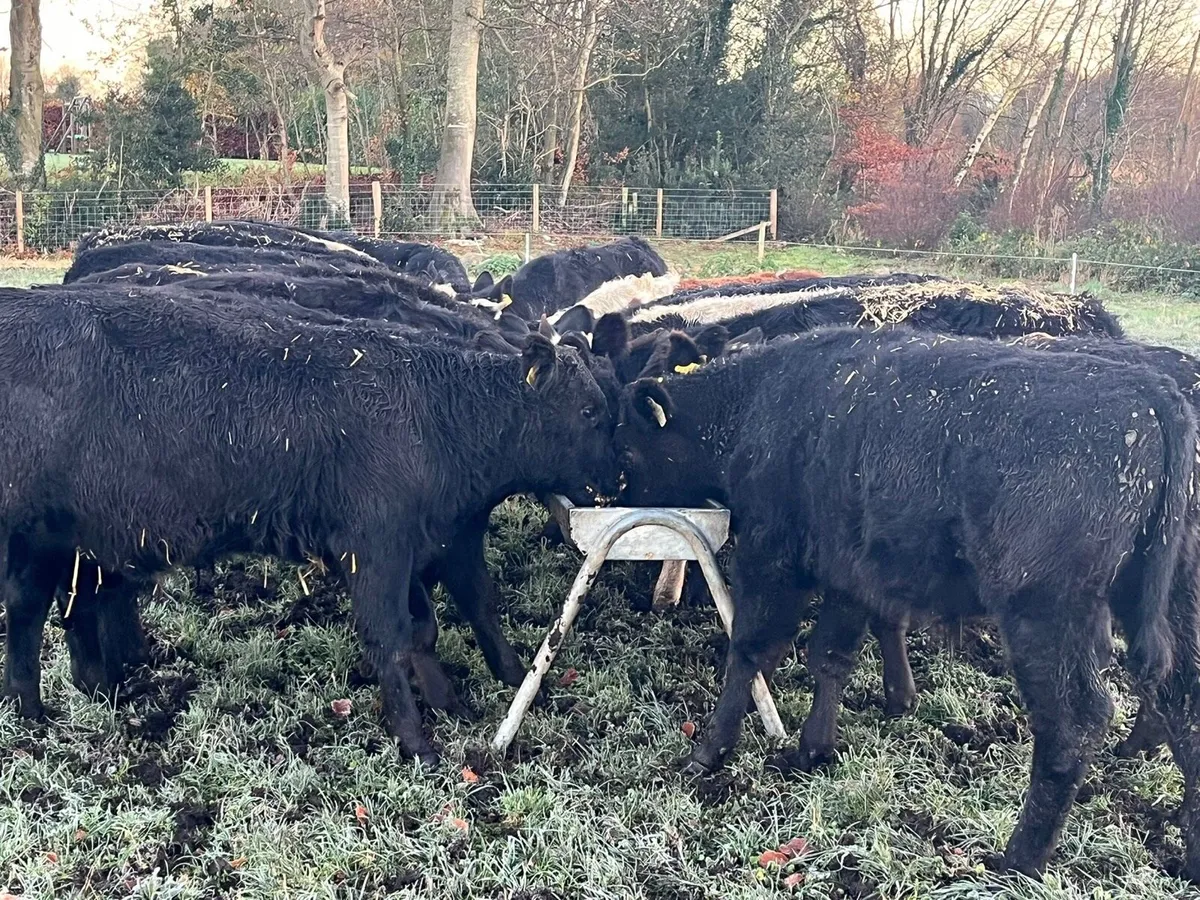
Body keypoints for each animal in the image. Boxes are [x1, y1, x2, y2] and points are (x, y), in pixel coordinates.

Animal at [0, 286, 621, 765]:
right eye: (590, 411)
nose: (617, 480)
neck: (438, 418)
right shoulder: (376, 546)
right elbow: (392, 637)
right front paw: (417, 741)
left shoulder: (443, 540)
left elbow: (456, 617)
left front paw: (488, 690)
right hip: (30, 534)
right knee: (31, 610)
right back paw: (39, 708)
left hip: (68, 540)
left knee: (59, 607)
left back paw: (73, 696)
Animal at [613, 328, 1200, 881]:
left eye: (627, 454)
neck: (760, 402)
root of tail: (1151, 394)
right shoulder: (846, 572)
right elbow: (831, 657)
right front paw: (814, 749)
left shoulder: (773, 559)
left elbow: (752, 651)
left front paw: (709, 751)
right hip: (1175, 603)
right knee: (1184, 703)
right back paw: (1188, 846)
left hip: (1048, 614)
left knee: (1076, 721)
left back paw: (1018, 861)